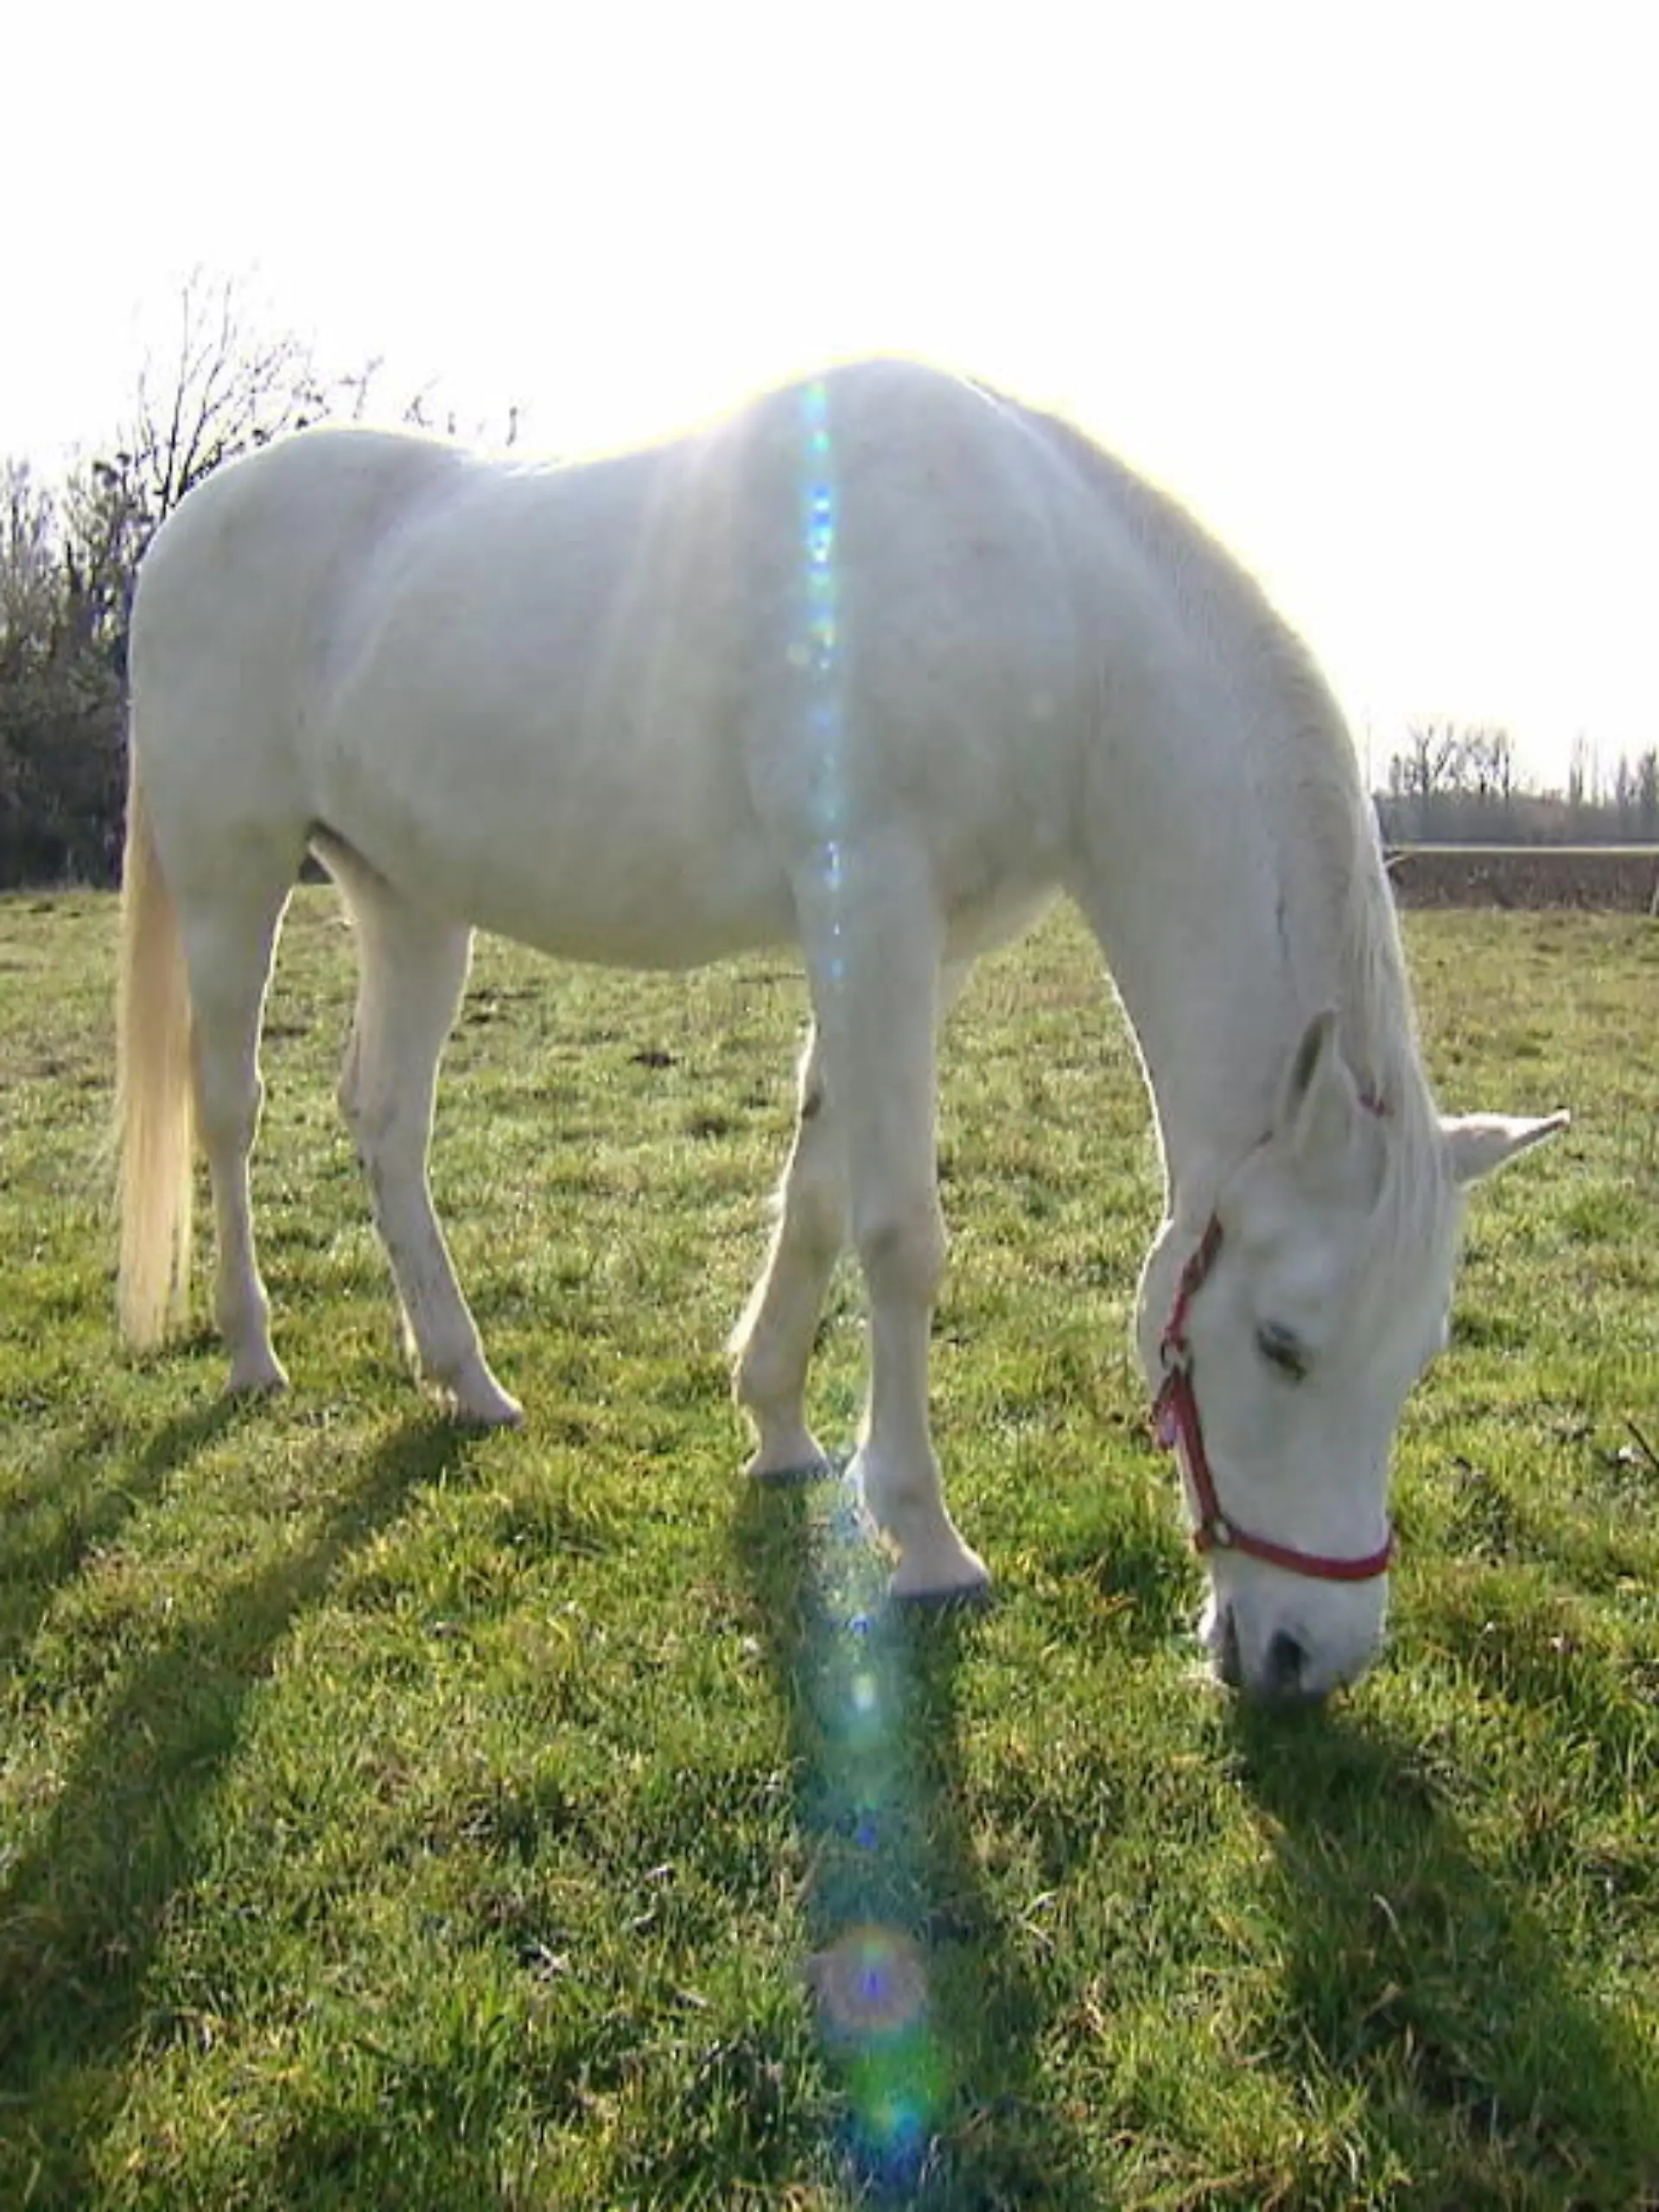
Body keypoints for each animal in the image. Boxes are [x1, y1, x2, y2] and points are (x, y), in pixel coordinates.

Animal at [114, 358, 1565, 1701]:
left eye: (1419, 1354)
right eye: (1281, 1343)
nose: (1308, 1658)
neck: (1056, 614)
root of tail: (187, 527)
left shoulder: (915, 943)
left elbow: (818, 1185)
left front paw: (777, 1427)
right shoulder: (870, 896)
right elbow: (901, 1234)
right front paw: (924, 1537)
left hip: (408, 900)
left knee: (386, 1122)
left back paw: (464, 1378)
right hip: (236, 872)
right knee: (231, 1104)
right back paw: (251, 1351)